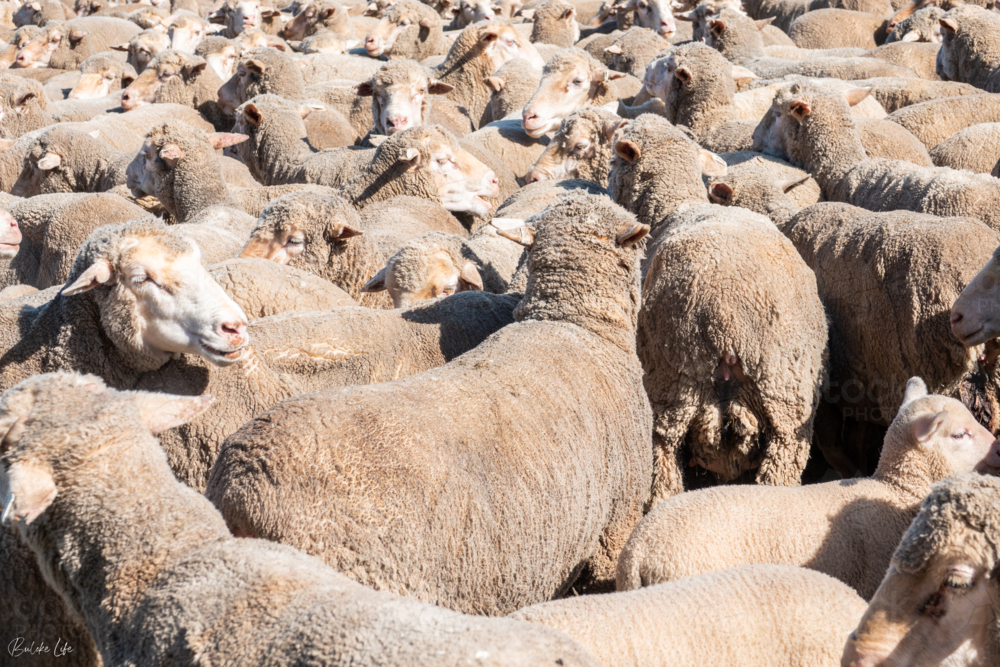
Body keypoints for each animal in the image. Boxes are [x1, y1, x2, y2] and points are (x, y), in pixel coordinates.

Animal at [608, 115, 827, 504]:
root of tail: (727, 318)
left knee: (663, 468)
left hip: (670, 392)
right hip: (788, 409)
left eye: (616, 157)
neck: (675, 206)